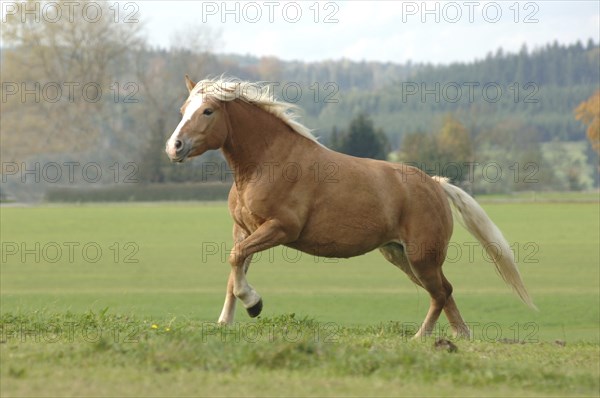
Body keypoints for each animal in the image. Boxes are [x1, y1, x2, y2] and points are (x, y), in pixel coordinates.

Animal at [164, 76, 536, 338]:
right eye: (183, 110)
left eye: (208, 111)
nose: (174, 146)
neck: (266, 163)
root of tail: (435, 185)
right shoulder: (244, 229)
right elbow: (234, 267)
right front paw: (225, 322)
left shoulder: (280, 228)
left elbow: (235, 261)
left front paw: (254, 305)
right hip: (401, 255)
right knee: (444, 291)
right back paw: (460, 335)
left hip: (421, 256)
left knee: (440, 292)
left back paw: (421, 337)